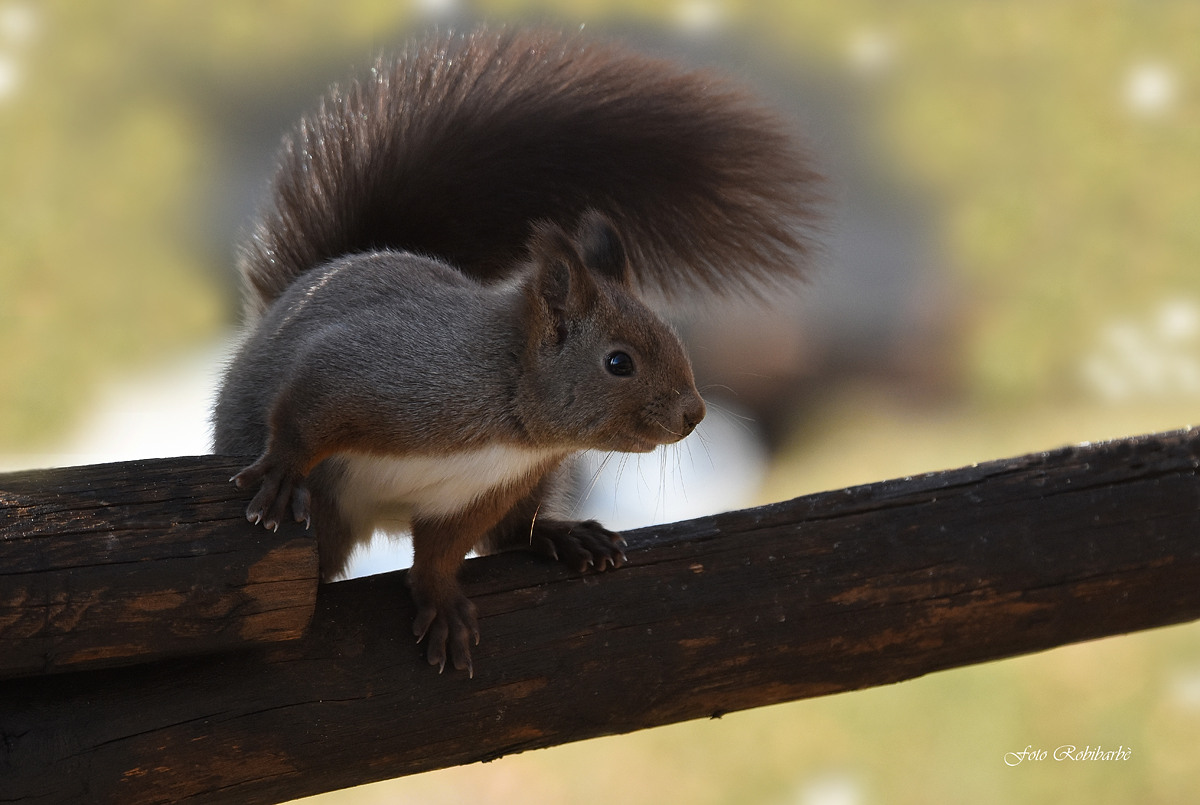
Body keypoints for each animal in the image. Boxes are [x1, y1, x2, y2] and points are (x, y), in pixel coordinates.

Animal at [213, 26, 822, 675]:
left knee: (511, 533)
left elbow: (444, 552)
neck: (511, 421)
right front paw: (282, 471)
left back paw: (561, 536)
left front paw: (440, 602)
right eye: (618, 362)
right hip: (326, 515)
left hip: (531, 489)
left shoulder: (482, 491)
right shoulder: (384, 374)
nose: (693, 413)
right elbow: (309, 407)